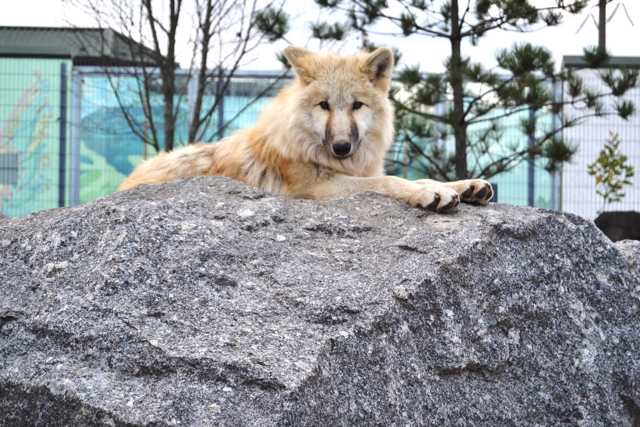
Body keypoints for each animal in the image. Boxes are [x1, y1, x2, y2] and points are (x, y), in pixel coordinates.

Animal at [117, 46, 492, 211]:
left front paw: (467, 185)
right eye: (324, 105)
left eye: (356, 105)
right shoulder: (318, 189)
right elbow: (390, 180)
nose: (341, 147)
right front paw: (430, 193)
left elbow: (419, 177)